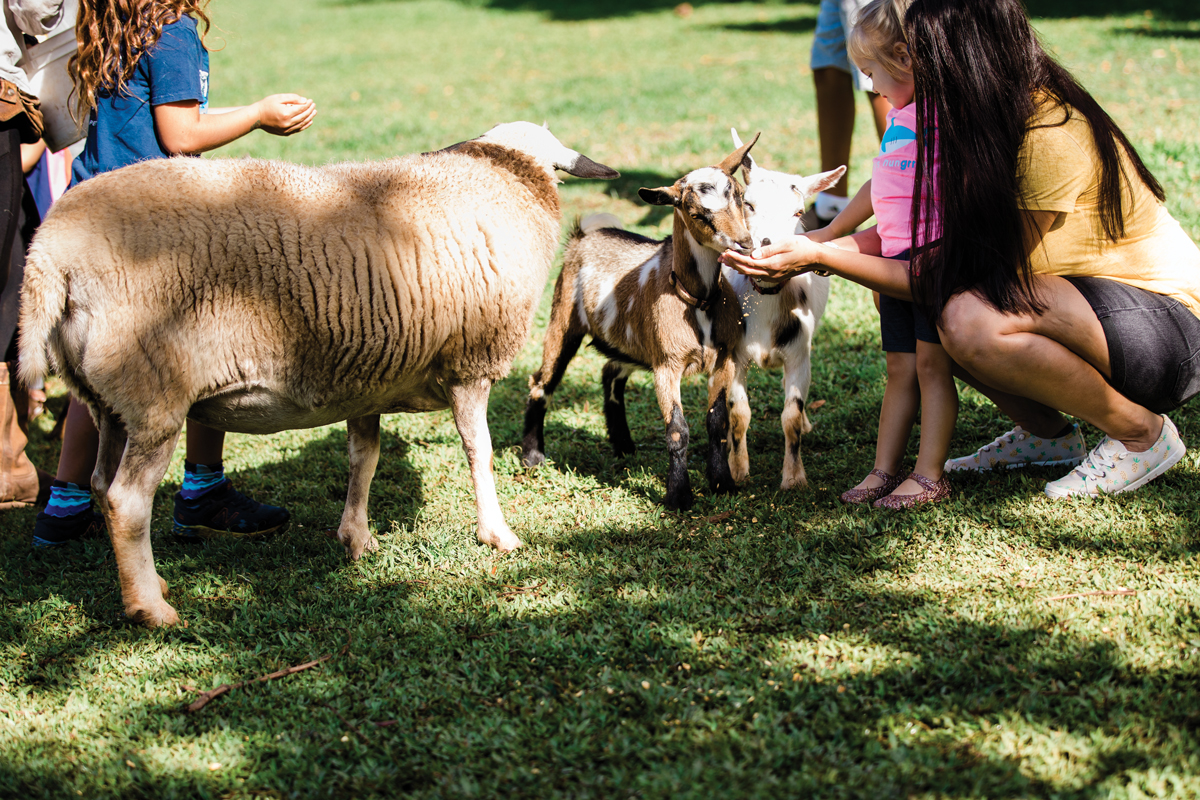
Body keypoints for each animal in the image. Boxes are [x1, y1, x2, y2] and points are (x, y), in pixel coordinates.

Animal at [18, 122, 617, 627]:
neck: (503, 174)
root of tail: (50, 256)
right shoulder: (470, 362)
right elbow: (480, 452)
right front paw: (497, 534)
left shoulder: (370, 376)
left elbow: (364, 459)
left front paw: (356, 539)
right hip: (153, 393)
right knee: (127, 502)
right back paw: (150, 608)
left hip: (109, 399)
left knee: (101, 484)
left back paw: (148, 585)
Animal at [522, 135, 759, 510]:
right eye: (697, 213)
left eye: (740, 196)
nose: (745, 243)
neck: (697, 299)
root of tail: (584, 235)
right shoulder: (666, 364)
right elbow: (677, 429)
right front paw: (679, 496)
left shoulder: (725, 357)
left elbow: (717, 422)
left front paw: (722, 483)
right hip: (563, 319)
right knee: (542, 380)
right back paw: (532, 456)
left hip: (629, 343)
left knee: (610, 373)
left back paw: (623, 445)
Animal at [724, 129, 845, 489]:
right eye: (747, 204)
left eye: (798, 212)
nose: (766, 246)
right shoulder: (734, 355)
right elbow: (738, 412)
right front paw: (738, 470)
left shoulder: (798, 354)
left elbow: (790, 414)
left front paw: (794, 478)